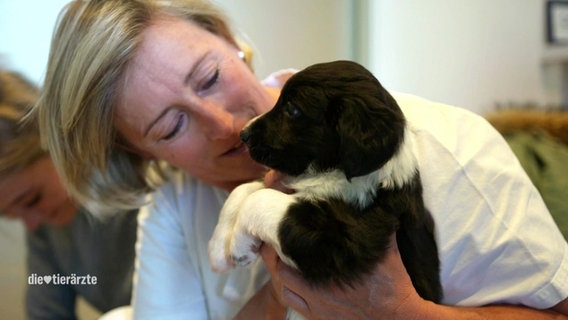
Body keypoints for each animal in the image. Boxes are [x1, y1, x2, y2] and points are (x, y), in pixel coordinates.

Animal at [210, 60, 444, 302]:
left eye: (292, 109)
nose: (243, 134)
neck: (330, 171)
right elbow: (245, 189)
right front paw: (220, 251)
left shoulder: (346, 238)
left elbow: (260, 199)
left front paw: (238, 247)